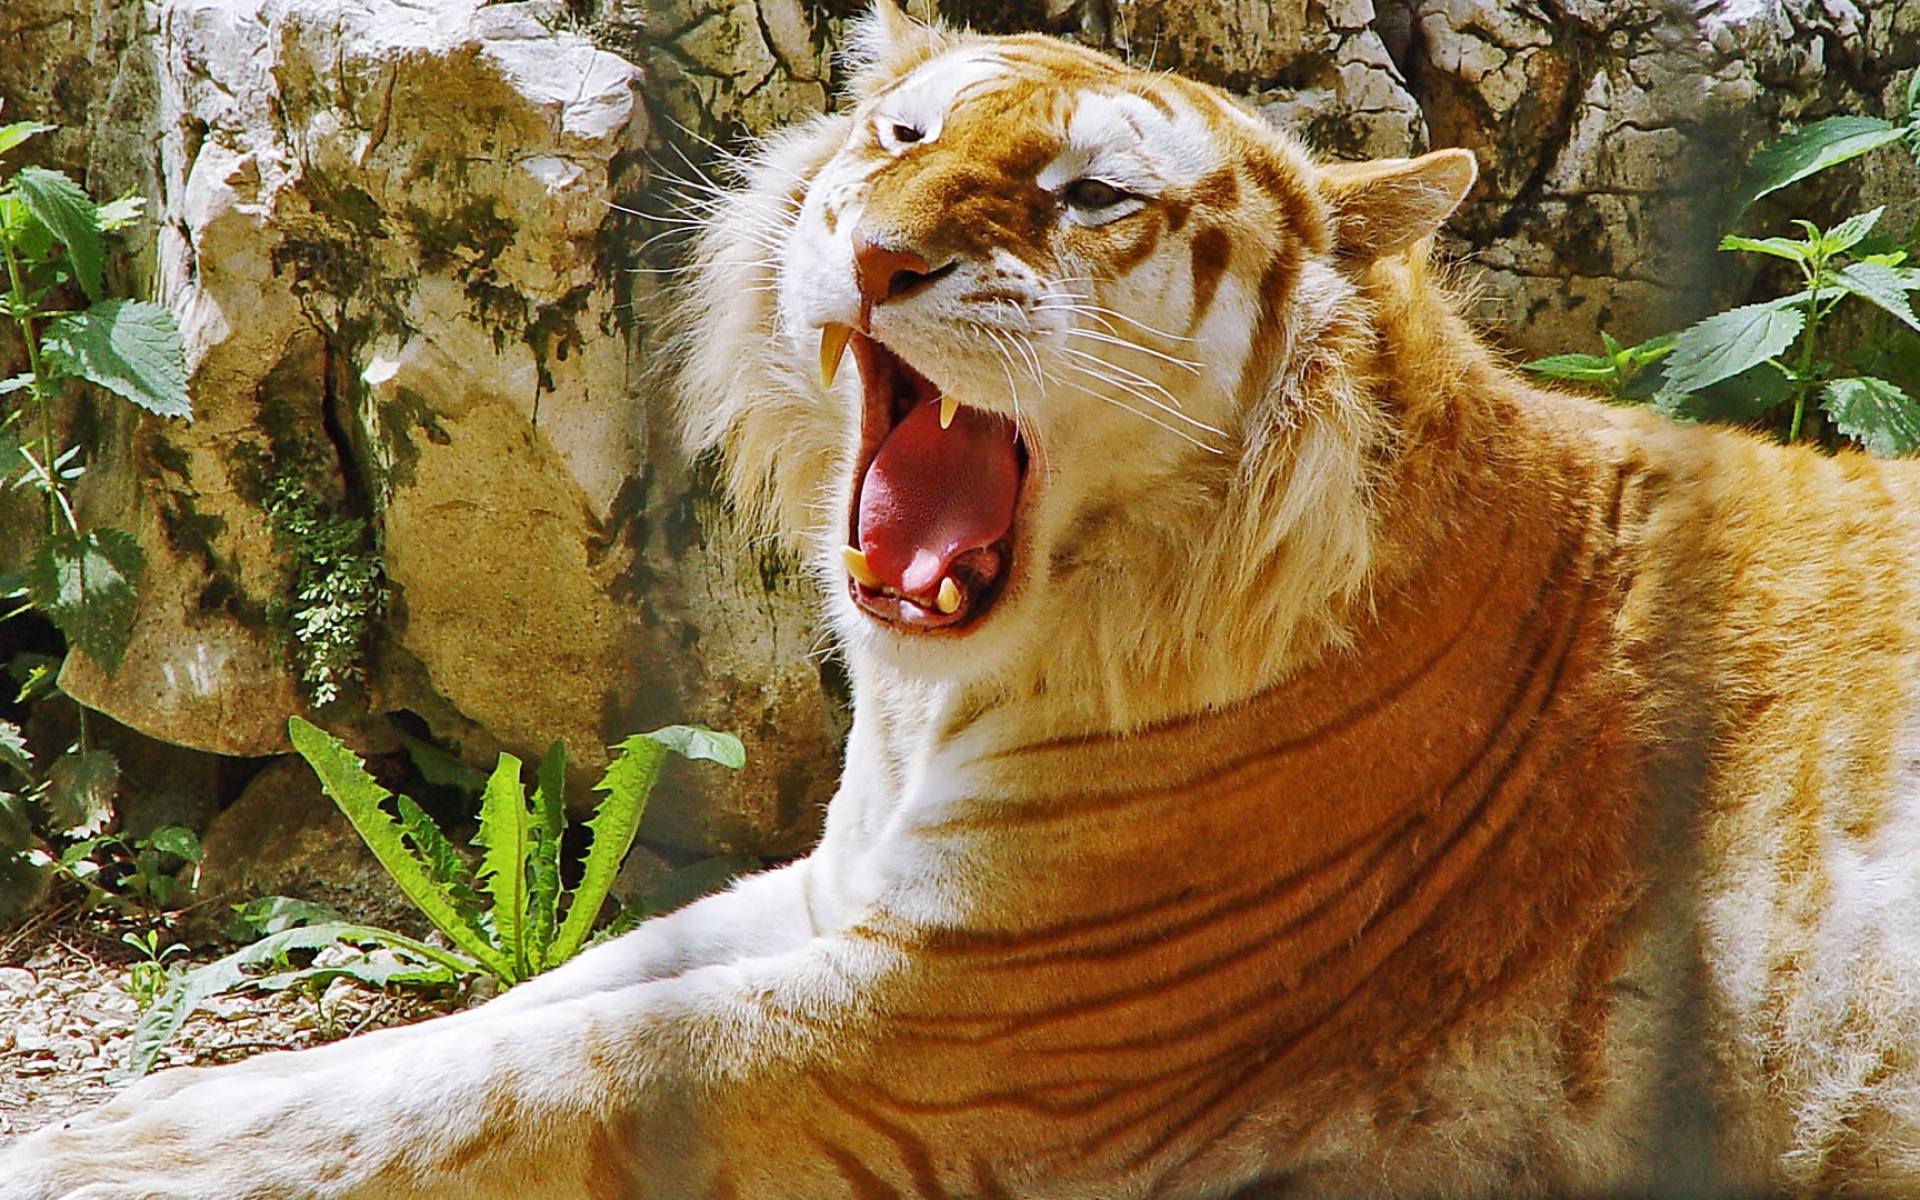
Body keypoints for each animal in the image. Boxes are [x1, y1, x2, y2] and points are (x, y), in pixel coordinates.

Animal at [8, 3, 1920, 1197]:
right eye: (904, 132)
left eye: (1094, 196)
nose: (877, 249)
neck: (949, 693)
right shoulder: (850, 894)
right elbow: (527, 1010)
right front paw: (168, 1105)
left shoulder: (961, 1016)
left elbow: (528, 1079)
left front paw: (100, 1157)